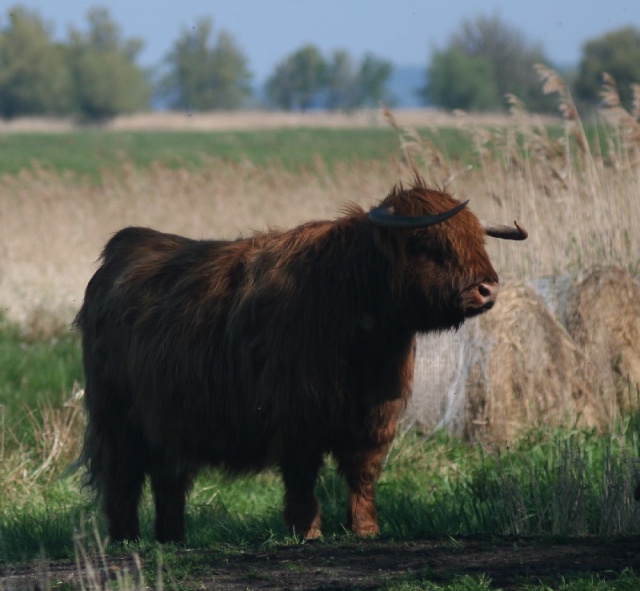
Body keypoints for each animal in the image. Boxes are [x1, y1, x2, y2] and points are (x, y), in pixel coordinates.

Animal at [74, 173, 524, 544]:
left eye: (478, 240)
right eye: (428, 244)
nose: (488, 289)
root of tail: (126, 245)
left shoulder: (376, 416)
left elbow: (363, 474)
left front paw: (365, 529)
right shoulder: (297, 414)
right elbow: (302, 475)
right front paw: (306, 531)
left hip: (169, 421)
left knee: (169, 478)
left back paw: (173, 538)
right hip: (116, 417)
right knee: (123, 476)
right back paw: (126, 539)